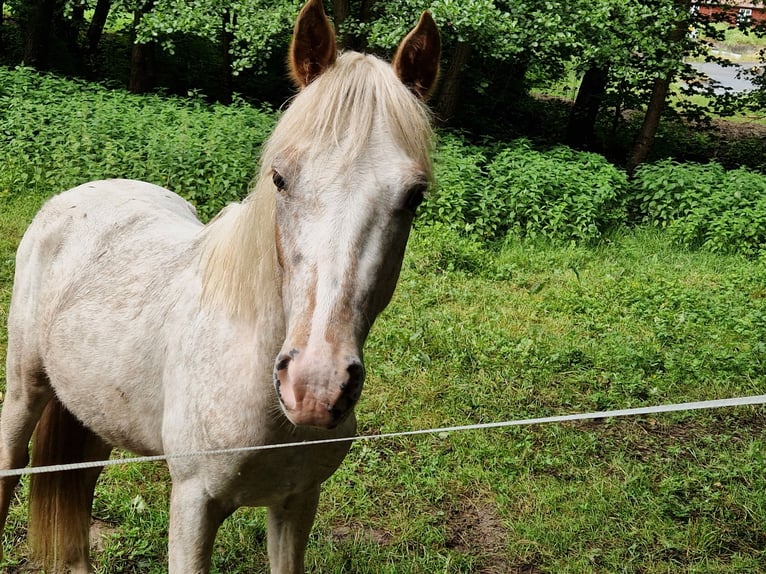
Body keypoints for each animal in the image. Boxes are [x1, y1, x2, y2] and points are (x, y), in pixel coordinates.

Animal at [0, 2, 440, 572]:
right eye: (280, 178)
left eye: (413, 197)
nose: (314, 386)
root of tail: (77, 195)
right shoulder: (193, 505)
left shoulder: (297, 503)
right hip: (24, 391)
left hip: (93, 412)